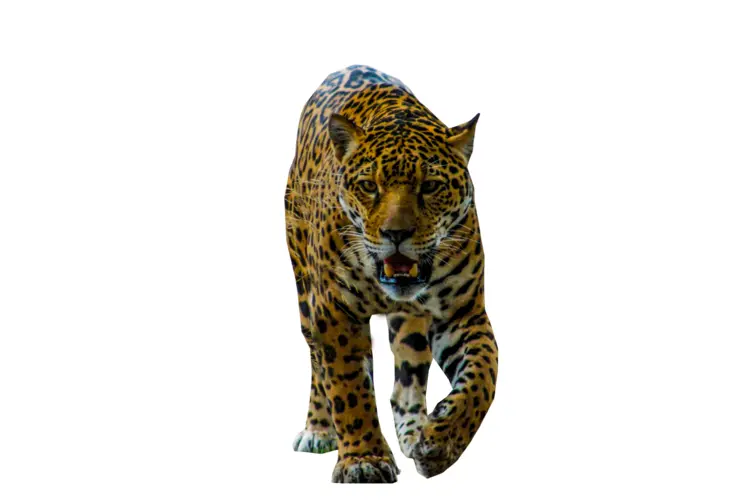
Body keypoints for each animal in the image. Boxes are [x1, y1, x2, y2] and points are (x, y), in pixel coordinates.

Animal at [285, 65, 498, 483]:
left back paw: (415, 432)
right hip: (304, 292)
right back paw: (319, 429)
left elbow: (483, 376)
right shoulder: (334, 311)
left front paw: (441, 442)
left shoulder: (462, 312)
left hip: (411, 325)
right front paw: (363, 459)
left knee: (408, 376)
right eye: (369, 186)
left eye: (430, 186)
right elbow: (348, 387)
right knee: (317, 362)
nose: (396, 234)